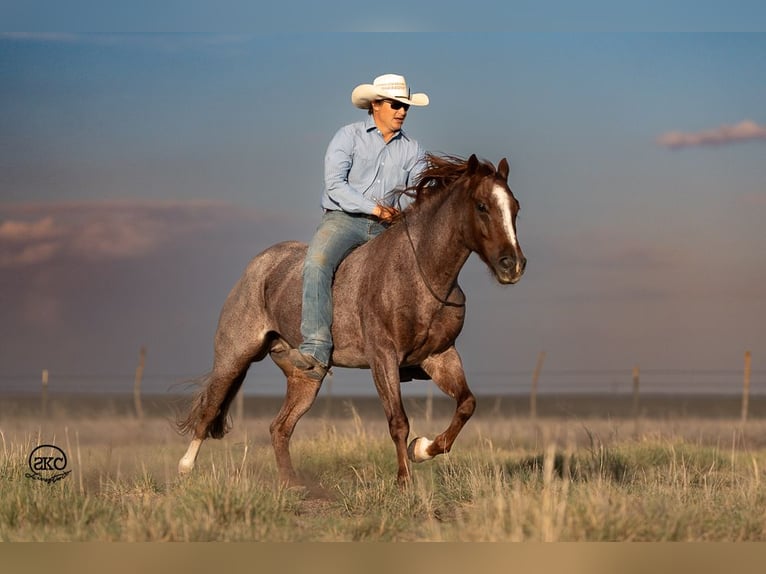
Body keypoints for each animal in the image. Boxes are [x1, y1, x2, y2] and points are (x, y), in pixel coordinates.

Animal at [178, 153, 528, 486]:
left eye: (515, 208)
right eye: (482, 206)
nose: (513, 265)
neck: (419, 274)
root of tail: (258, 266)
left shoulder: (440, 356)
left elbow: (466, 404)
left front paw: (421, 449)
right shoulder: (383, 357)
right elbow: (398, 421)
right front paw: (404, 482)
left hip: (306, 377)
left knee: (280, 427)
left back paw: (293, 485)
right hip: (234, 357)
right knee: (209, 410)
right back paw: (185, 469)